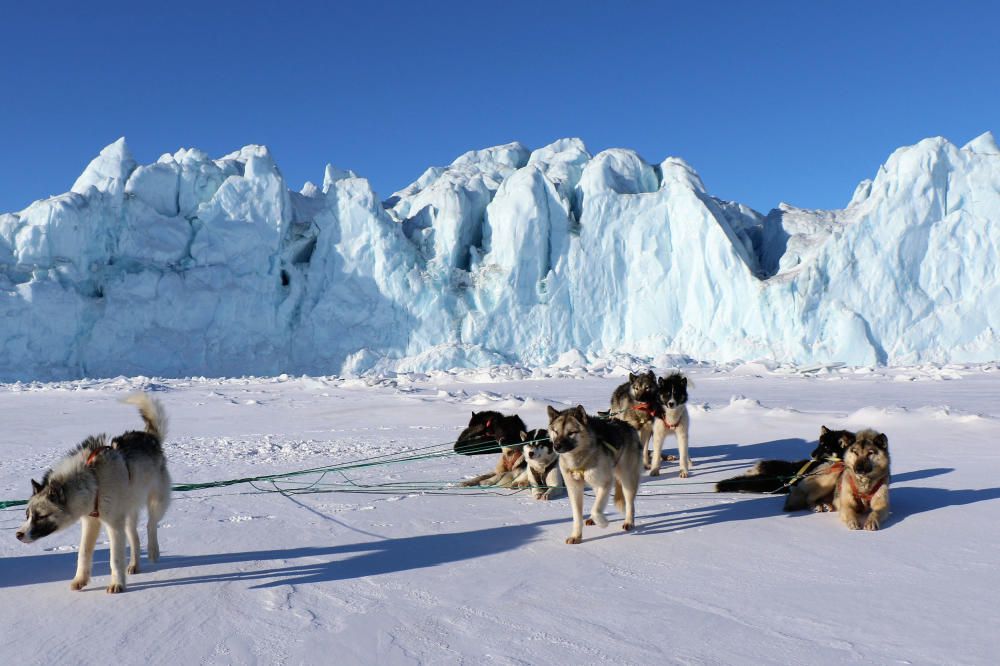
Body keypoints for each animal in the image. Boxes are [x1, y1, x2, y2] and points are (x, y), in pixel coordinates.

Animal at [16, 394, 172, 592]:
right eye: (27, 515)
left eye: (41, 516)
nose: (18, 534)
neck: (93, 480)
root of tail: (150, 437)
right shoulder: (90, 522)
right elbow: (83, 552)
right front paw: (80, 580)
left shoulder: (113, 525)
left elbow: (115, 559)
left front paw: (117, 584)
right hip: (128, 515)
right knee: (135, 538)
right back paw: (134, 565)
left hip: (156, 503)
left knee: (151, 526)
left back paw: (152, 551)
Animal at [548, 404, 640, 540]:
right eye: (556, 431)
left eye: (571, 433)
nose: (556, 446)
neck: (578, 459)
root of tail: (628, 425)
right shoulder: (574, 488)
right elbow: (577, 515)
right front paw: (576, 536)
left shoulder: (606, 482)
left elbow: (595, 510)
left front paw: (603, 522)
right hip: (596, 483)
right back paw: (592, 519)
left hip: (626, 479)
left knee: (629, 503)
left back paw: (629, 522)